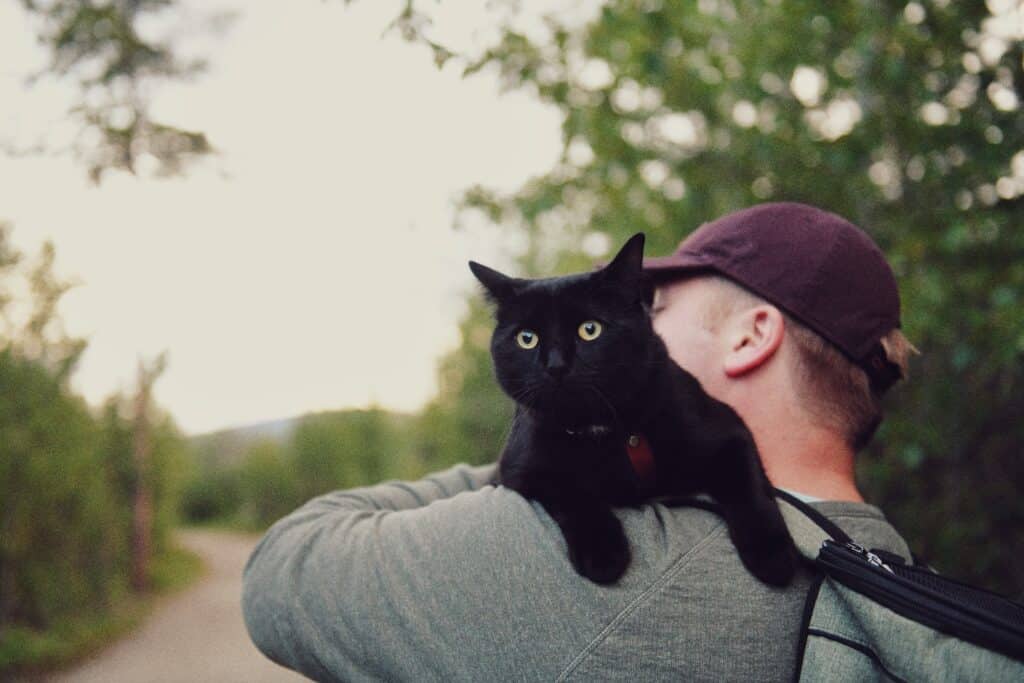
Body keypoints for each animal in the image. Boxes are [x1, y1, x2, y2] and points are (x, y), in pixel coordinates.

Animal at [471, 235, 798, 589]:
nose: (556, 365)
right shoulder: (522, 467)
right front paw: (603, 553)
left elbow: (746, 484)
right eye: (526, 338)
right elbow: (570, 490)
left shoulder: (728, 429)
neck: (602, 429)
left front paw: (773, 554)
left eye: (590, 330)